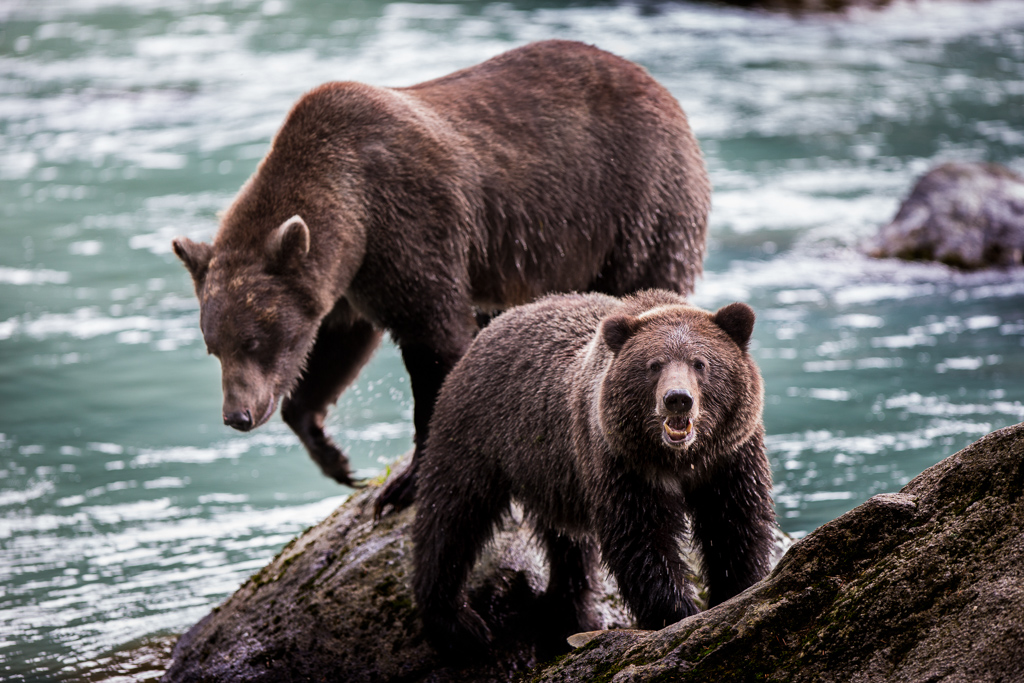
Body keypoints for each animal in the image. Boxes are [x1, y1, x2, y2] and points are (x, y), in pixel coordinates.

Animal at [170, 40, 710, 511]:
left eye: (254, 341)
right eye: (213, 345)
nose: (237, 415)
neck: (353, 210)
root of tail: (663, 90)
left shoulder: (409, 225)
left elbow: (436, 340)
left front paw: (406, 481)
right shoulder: (352, 281)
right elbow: (338, 347)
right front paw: (335, 456)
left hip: (634, 203)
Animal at [411, 289, 776, 658]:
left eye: (700, 363)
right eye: (654, 364)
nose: (677, 399)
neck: (680, 458)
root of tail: (496, 322)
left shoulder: (729, 459)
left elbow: (734, 526)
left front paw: (735, 593)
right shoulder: (624, 464)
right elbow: (642, 540)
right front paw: (676, 614)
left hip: (555, 474)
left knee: (569, 548)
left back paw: (570, 616)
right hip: (480, 432)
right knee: (452, 514)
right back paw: (457, 623)